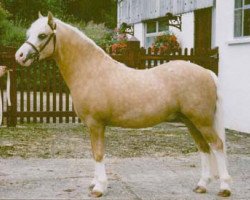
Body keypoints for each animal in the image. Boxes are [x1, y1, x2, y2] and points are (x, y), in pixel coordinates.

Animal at [15, 12, 230, 197]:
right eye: (29, 33)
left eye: (42, 35)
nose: (20, 56)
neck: (90, 70)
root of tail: (206, 72)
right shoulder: (92, 126)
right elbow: (94, 153)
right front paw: (95, 183)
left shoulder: (96, 124)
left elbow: (99, 154)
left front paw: (99, 188)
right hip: (190, 122)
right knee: (204, 148)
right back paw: (202, 185)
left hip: (201, 121)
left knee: (217, 145)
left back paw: (225, 188)